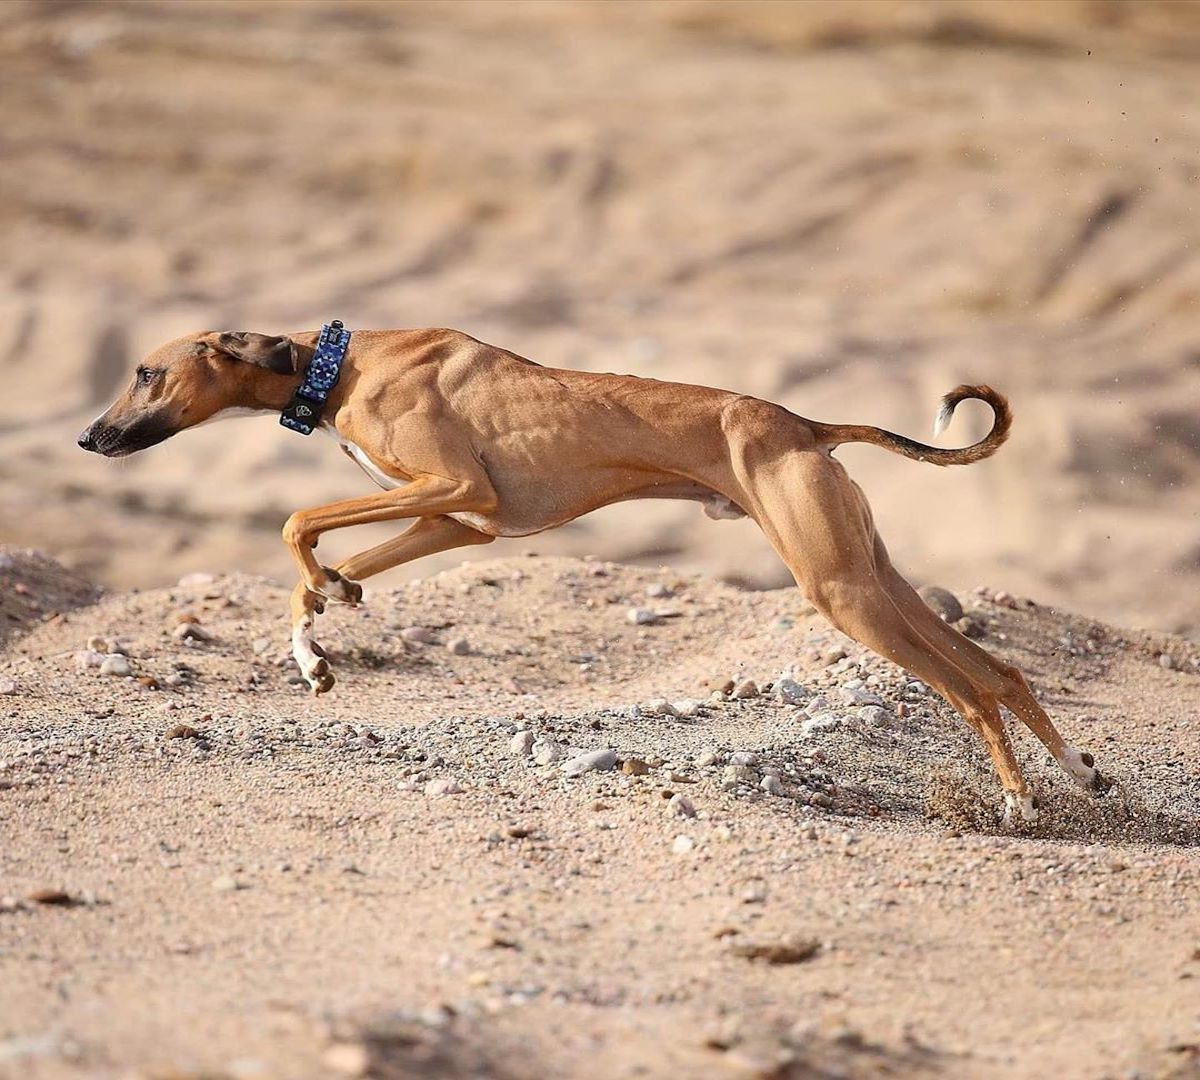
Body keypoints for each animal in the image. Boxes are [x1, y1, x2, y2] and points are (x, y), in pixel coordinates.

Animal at [75, 324, 1108, 820]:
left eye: (146, 372)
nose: (90, 437)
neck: (337, 364)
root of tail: (803, 424)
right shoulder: (462, 520)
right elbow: (321, 560)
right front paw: (319, 638)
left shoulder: (453, 488)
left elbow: (297, 522)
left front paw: (326, 606)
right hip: (869, 575)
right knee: (1001, 669)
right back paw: (1083, 777)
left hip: (841, 593)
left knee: (967, 689)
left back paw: (1019, 798)